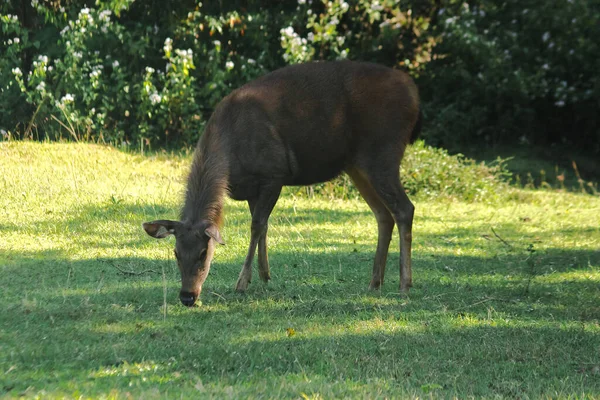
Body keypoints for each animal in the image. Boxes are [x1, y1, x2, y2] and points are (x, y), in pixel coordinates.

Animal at [142, 61, 420, 308]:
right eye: (176, 253)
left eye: (203, 252)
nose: (187, 296)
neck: (230, 157)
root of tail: (414, 94)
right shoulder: (252, 189)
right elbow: (262, 226)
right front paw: (265, 276)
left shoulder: (274, 173)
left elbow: (256, 226)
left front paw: (242, 282)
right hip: (357, 166)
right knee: (384, 214)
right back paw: (375, 282)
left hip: (383, 151)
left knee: (405, 208)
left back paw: (404, 285)